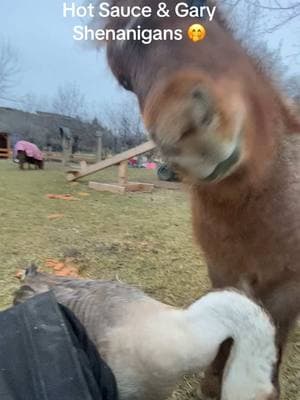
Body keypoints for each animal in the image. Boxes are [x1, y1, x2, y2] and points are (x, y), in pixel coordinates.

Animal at [96, 0, 300, 396]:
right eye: (124, 79)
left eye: (198, 7)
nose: (185, 130)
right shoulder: (221, 269)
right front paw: (212, 383)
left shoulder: (287, 284)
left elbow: (279, 333)